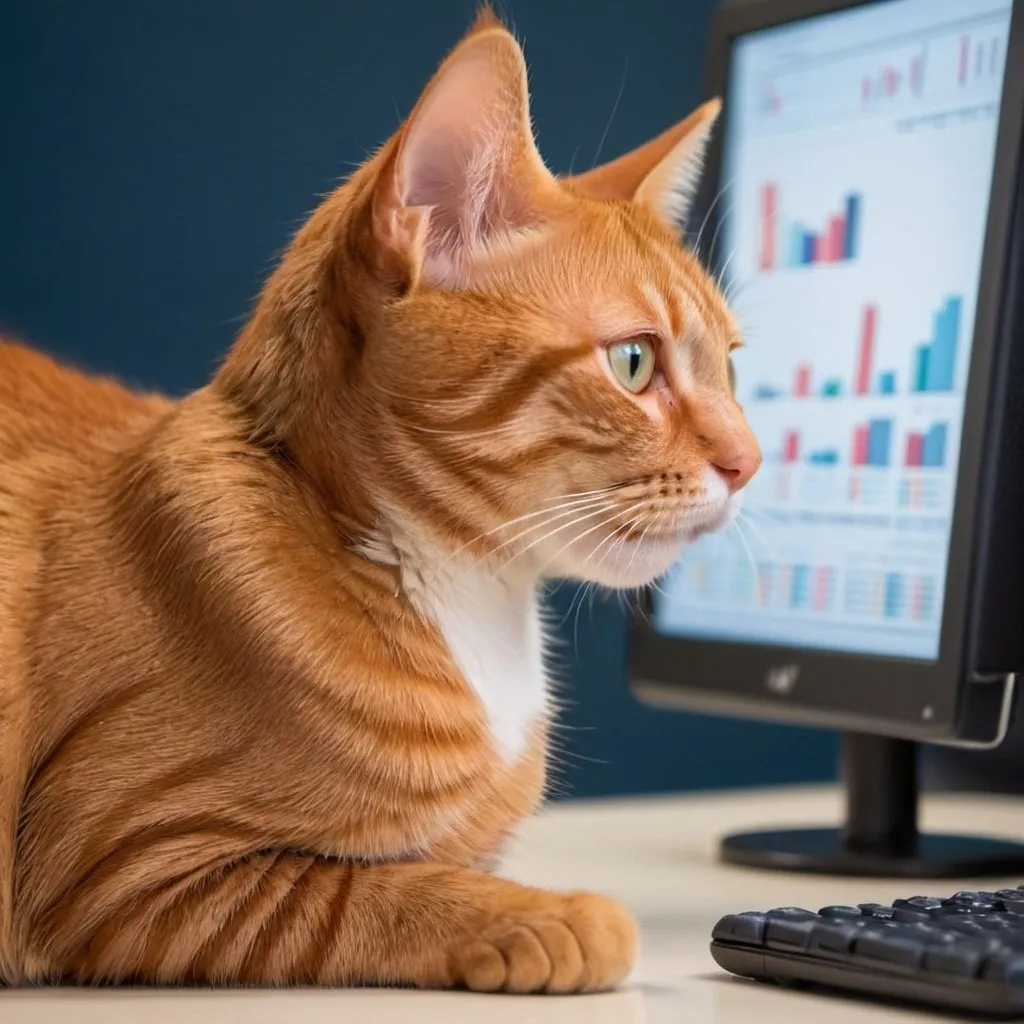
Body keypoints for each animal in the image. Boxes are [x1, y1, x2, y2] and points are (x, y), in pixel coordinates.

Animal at [0, 9, 761, 991]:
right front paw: (553, 917)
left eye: (731, 367)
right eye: (634, 362)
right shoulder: (122, 869)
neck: (470, 600)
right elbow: (371, 891)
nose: (749, 461)